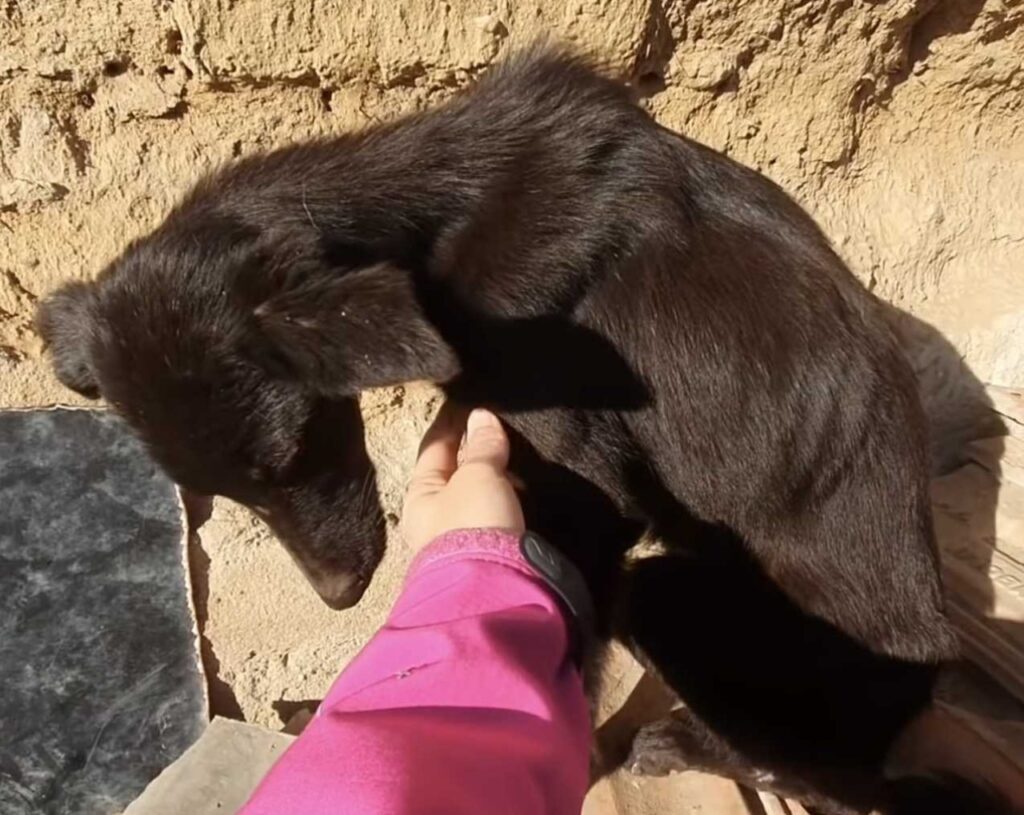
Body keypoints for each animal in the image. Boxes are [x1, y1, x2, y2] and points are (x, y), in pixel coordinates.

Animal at [36, 47, 1003, 810]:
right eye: (224, 493)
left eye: (294, 449)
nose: (341, 597)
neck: (440, 205)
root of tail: (927, 669)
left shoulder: (588, 480)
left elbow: (568, 644)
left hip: (693, 605)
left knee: (832, 772)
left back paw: (692, 746)